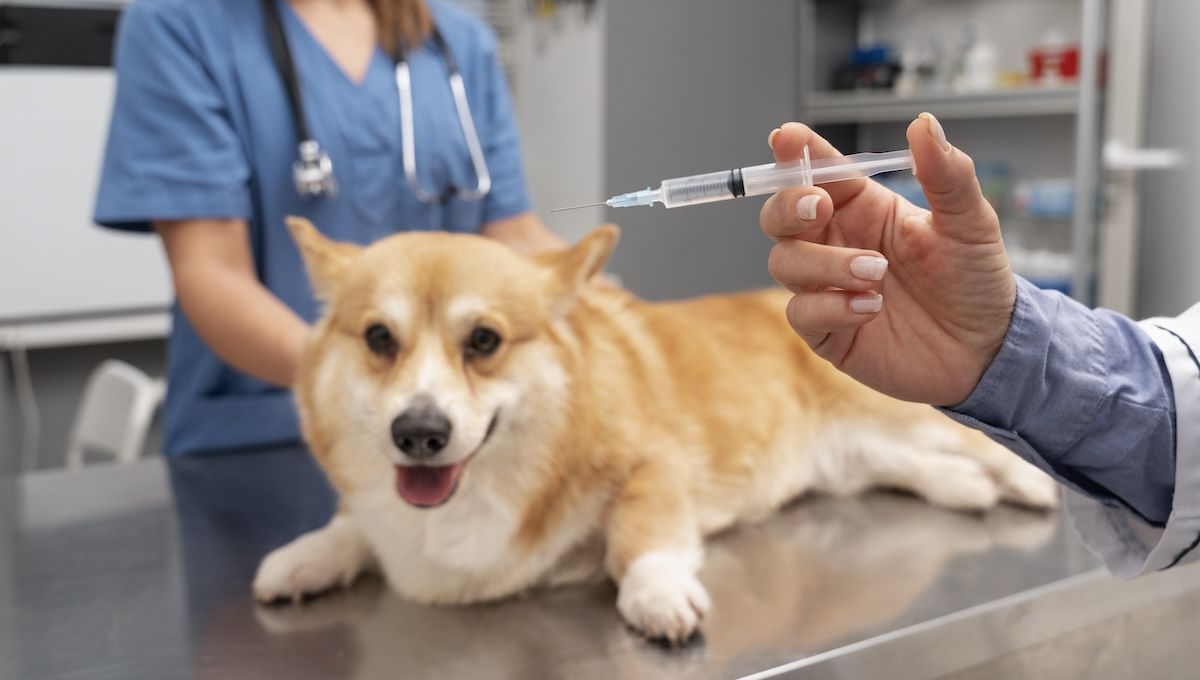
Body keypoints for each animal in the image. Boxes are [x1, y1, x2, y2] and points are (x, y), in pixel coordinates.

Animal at [255, 219, 1060, 642]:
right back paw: (966, 489)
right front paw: (303, 559)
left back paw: (1026, 483)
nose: (417, 433)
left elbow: (639, 534)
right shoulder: (380, 513)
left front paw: (658, 595)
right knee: (921, 467)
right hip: (854, 456)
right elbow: (351, 528)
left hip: (894, 410)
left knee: (976, 441)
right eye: (378, 339)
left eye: (484, 341)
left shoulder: (654, 465)